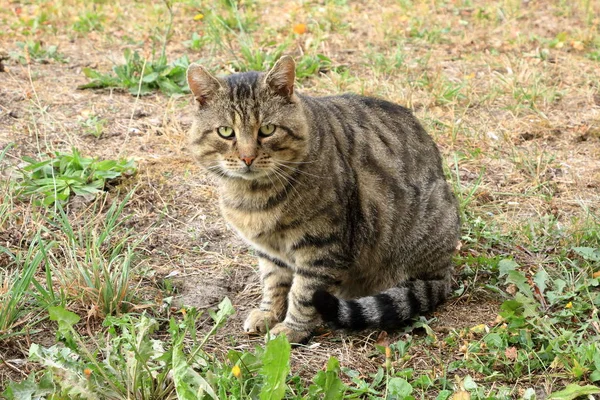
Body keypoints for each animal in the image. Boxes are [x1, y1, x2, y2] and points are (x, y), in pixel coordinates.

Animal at [186, 56, 460, 344]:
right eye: (226, 132)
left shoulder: (321, 246)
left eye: (268, 129)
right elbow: (273, 283)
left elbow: (304, 293)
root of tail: (445, 275)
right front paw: (268, 314)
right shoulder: (270, 252)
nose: (247, 158)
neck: (253, 195)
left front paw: (291, 329)